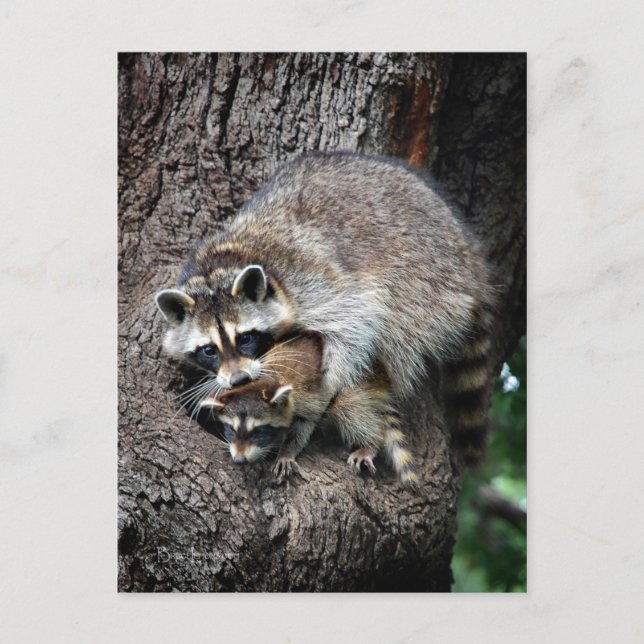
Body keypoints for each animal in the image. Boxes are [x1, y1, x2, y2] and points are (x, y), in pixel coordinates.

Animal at [156, 152, 495, 474]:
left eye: (246, 338)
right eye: (209, 350)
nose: (239, 379)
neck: (218, 268)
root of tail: (471, 254)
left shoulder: (314, 281)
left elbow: (355, 324)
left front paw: (324, 388)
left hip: (429, 279)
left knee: (399, 332)